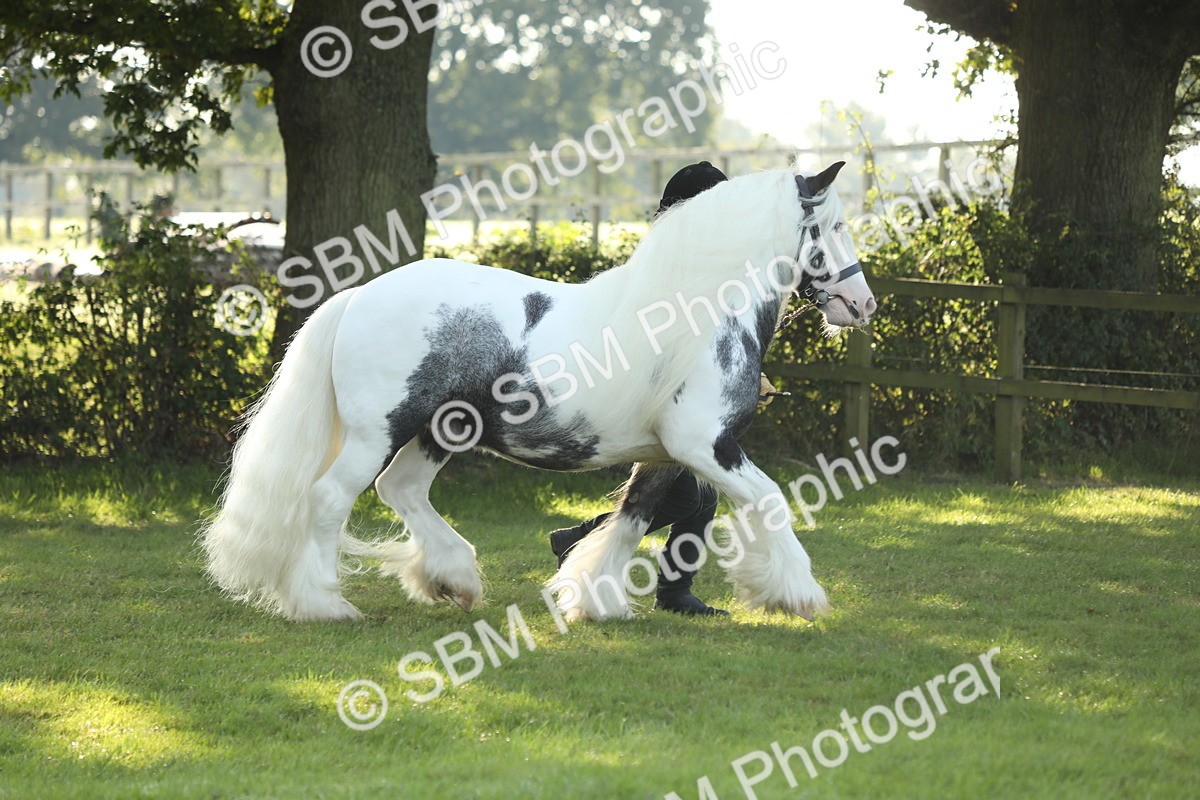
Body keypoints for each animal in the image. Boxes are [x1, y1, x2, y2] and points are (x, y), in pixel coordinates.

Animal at [201, 161, 876, 622]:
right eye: (834, 226)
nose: (862, 304)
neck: (701, 315)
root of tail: (358, 295)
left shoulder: (665, 455)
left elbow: (630, 520)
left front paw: (595, 600)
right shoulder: (704, 446)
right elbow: (771, 500)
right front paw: (798, 594)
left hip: (442, 430)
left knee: (403, 490)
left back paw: (455, 579)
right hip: (379, 432)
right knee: (328, 498)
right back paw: (324, 604)